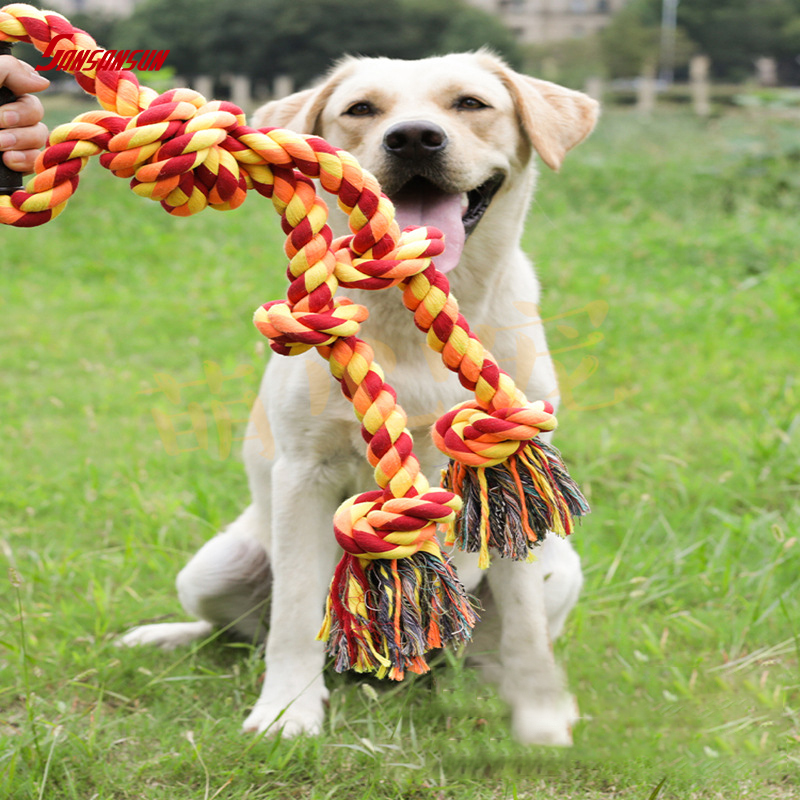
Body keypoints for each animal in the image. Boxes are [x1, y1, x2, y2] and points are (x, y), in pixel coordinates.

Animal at [120, 53, 600, 748]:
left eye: (471, 103)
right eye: (362, 109)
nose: (415, 138)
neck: (415, 316)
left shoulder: (515, 480)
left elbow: (527, 625)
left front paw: (540, 720)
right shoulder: (305, 474)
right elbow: (295, 612)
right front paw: (286, 713)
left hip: (562, 567)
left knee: (487, 645)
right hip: (218, 564)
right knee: (241, 632)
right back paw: (167, 639)